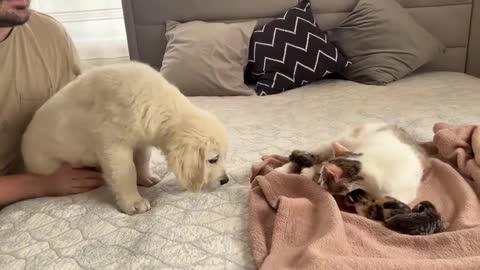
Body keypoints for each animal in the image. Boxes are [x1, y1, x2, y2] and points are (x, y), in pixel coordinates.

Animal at [22, 61, 231, 215]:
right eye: (213, 160)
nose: (225, 180)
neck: (160, 105)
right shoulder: (113, 143)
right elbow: (125, 172)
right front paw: (133, 201)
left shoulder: (141, 140)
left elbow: (142, 160)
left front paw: (146, 178)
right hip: (46, 164)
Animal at [276, 122, 430, 205]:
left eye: (325, 180)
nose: (319, 181)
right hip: (340, 141)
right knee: (310, 158)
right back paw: (283, 171)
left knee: (315, 163)